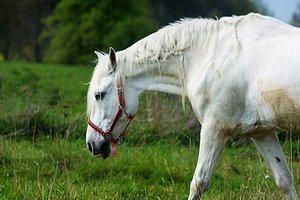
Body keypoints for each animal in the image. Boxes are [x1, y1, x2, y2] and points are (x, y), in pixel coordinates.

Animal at [85, 13, 298, 199]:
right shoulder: (262, 132)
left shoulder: (214, 130)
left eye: (99, 95)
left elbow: (199, 183)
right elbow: (285, 181)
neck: (210, 54)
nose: (91, 145)